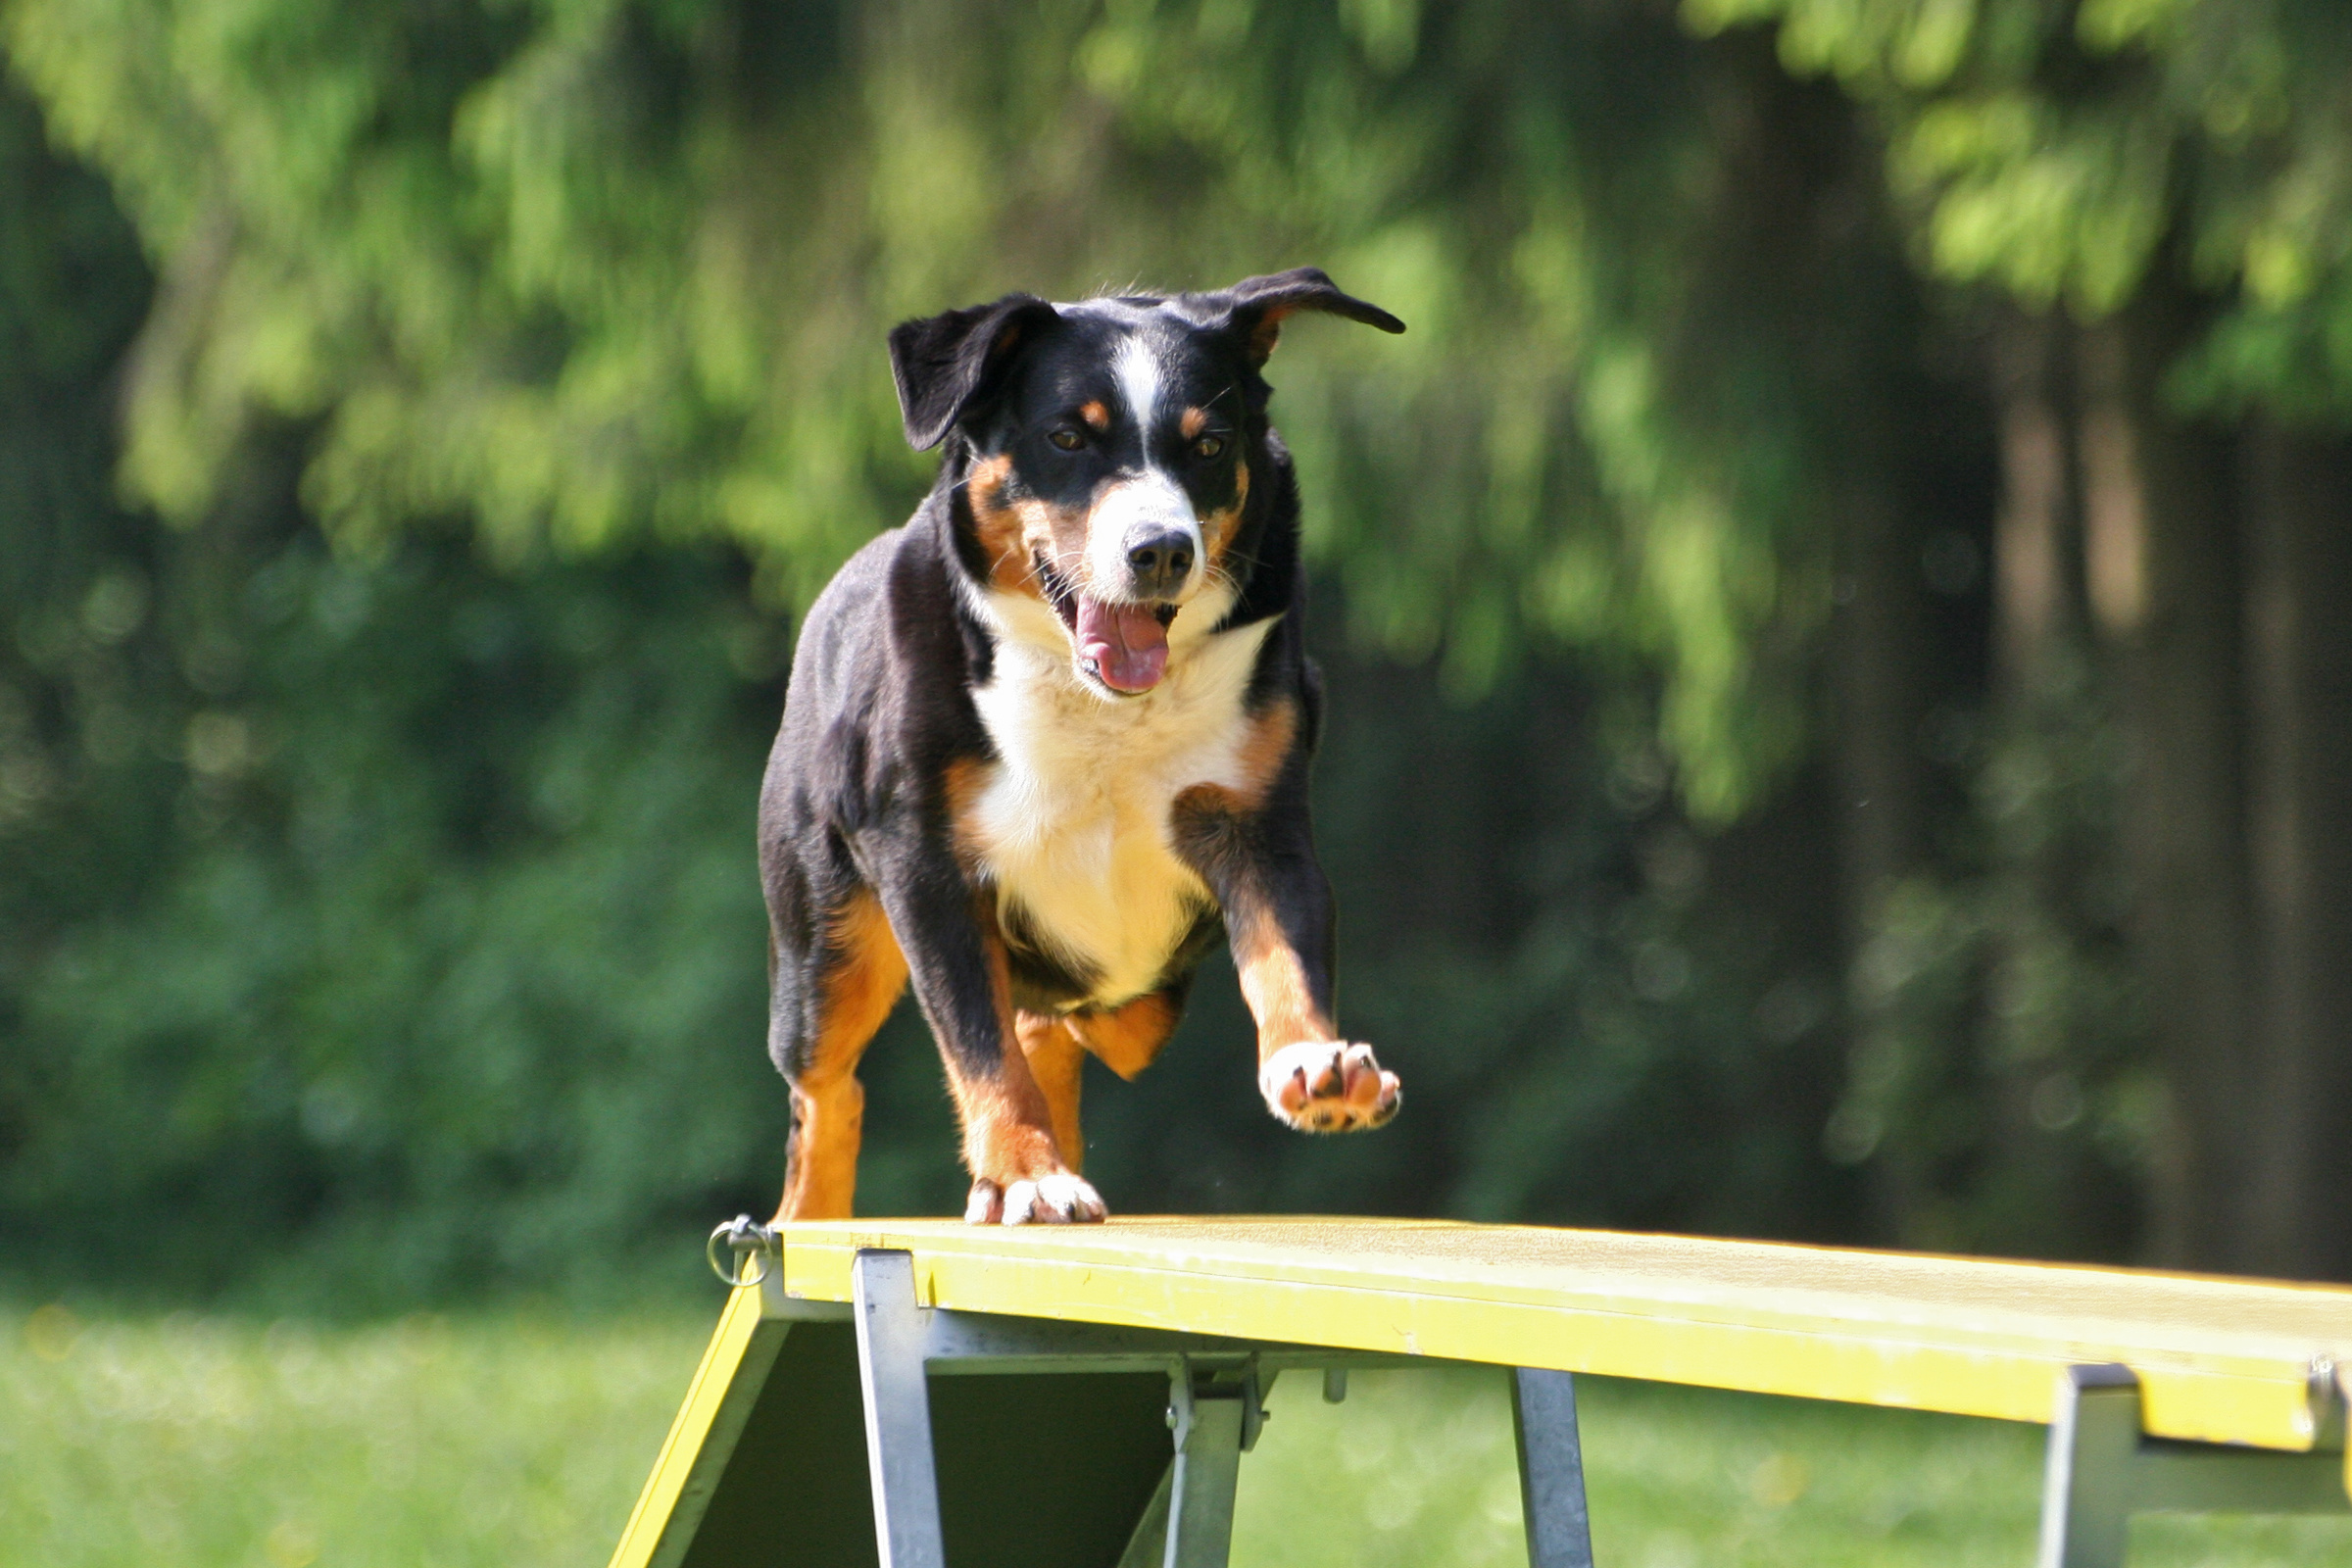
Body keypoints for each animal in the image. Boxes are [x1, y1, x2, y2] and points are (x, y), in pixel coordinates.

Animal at [761, 267, 1401, 1222]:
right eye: (1067, 436)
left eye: (1208, 445)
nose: (1160, 549)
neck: (1100, 708)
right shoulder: (925, 865)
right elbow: (978, 1042)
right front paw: (1026, 1170)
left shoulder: (1259, 821)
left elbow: (1283, 956)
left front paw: (1315, 1064)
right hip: (823, 950)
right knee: (827, 1088)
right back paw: (810, 1221)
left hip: (1127, 996)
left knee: (1048, 1029)